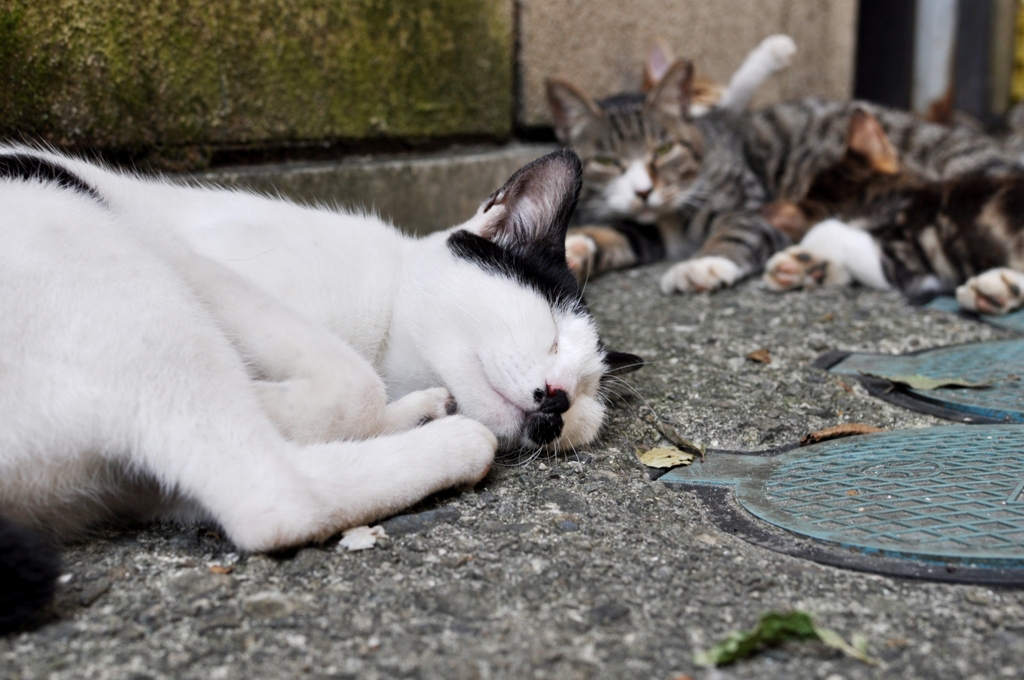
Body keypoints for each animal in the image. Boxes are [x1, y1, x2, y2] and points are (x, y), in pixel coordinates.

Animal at [0, 147, 638, 626]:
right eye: (552, 336)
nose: (560, 399)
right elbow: (353, 388)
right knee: (275, 499)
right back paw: (458, 440)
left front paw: (407, 411)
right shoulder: (199, 264)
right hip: (102, 253)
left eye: (586, 397)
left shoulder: (147, 487)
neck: (388, 338)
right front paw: (284, 401)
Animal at [548, 54, 1024, 292]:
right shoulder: (650, 226)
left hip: (966, 177)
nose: (644, 191)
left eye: (663, 150)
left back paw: (998, 284)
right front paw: (580, 245)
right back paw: (808, 265)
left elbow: (737, 230)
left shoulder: (748, 197)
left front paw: (703, 264)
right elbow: (623, 233)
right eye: (608, 162)